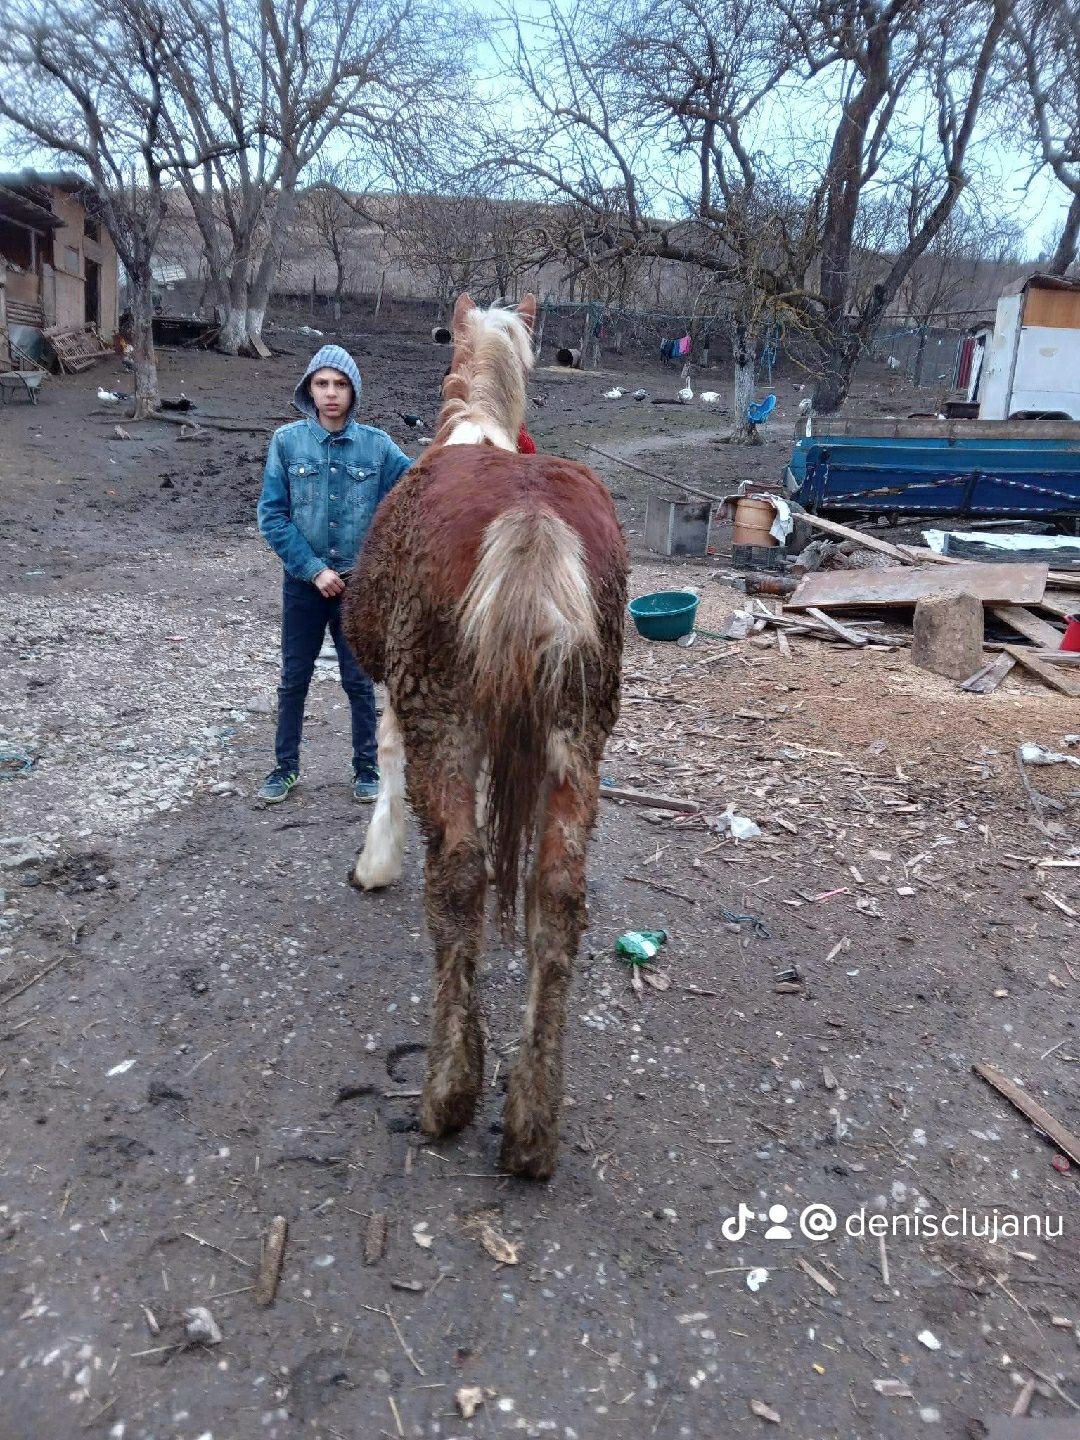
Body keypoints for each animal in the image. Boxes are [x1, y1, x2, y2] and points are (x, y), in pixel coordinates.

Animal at [347, 292, 630, 1180]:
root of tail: (531, 516)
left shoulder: (402, 698)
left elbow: (385, 763)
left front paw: (375, 862)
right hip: (580, 732)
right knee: (559, 896)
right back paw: (533, 1126)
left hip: (446, 715)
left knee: (461, 880)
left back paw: (449, 1092)